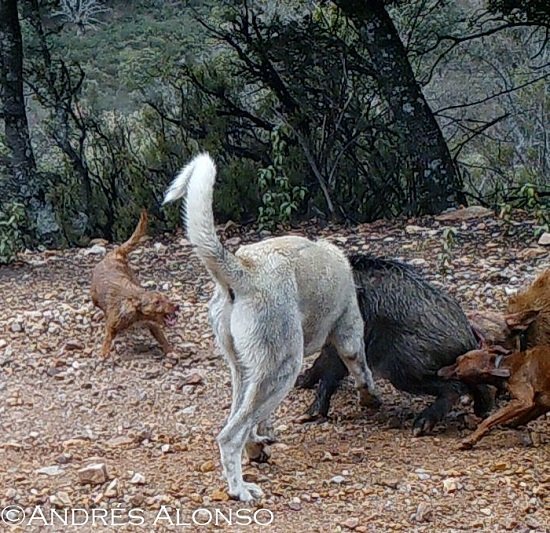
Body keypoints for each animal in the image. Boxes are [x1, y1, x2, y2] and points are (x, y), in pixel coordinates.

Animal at [89, 211, 178, 358]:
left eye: (167, 298)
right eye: (157, 302)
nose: (177, 306)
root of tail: (114, 254)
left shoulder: (152, 324)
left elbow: (161, 337)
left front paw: (170, 351)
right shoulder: (113, 323)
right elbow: (108, 337)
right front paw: (104, 353)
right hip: (94, 297)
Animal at [164, 152, 380, 500]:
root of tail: (245, 270)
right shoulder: (349, 333)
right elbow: (362, 369)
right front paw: (369, 397)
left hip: (246, 370)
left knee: (241, 418)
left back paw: (254, 449)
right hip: (283, 368)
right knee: (230, 436)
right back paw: (240, 488)